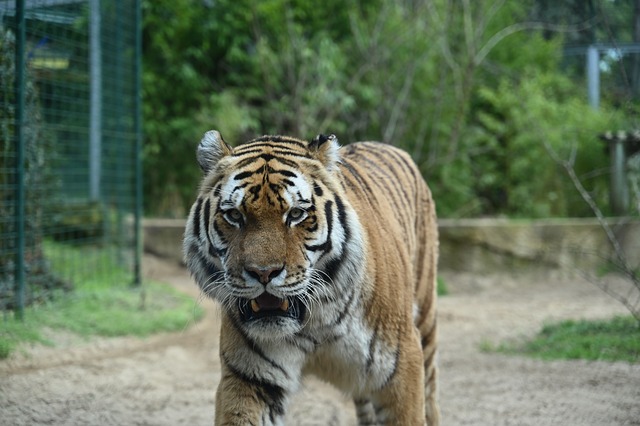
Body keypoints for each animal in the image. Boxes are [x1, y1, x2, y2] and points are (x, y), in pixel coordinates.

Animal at [182, 131, 438, 426]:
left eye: (295, 214)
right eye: (235, 215)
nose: (263, 272)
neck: (317, 320)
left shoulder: (401, 365)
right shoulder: (249, 377)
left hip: (426, 322)